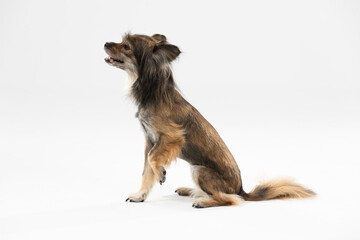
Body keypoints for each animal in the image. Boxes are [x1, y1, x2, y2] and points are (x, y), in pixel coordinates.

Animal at [104, 32, 316, 207]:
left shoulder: (171, 137)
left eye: (126, 47)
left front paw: (161, 173)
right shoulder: (150, 140)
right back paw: (190, 191)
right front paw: (140, 195)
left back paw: (204, 201)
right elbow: (146, 172)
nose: (105, 43)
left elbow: (153, 159)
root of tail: (242, 190)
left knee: (230, 199)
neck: (153, 93)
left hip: (200, 170)